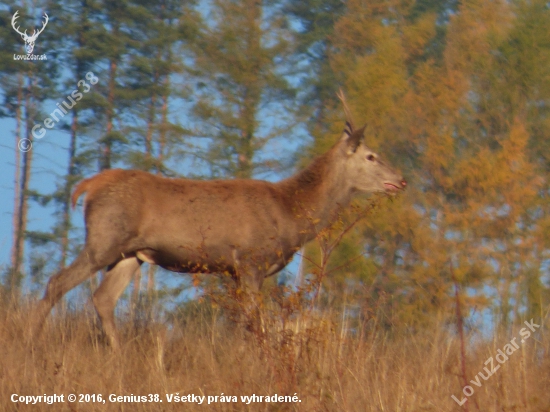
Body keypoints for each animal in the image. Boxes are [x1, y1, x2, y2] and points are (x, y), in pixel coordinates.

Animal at [32, 91, 408, 350]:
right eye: (371, 156)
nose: (401, 180)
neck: (290, 215)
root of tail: (87, 186)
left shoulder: (236, 271)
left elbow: (244, 324)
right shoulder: (252, 261)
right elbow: (254, 324)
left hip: (130, 254)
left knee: (103, 298)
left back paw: (119, 353)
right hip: (104, 239)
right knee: (57, 282)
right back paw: (33, 342)